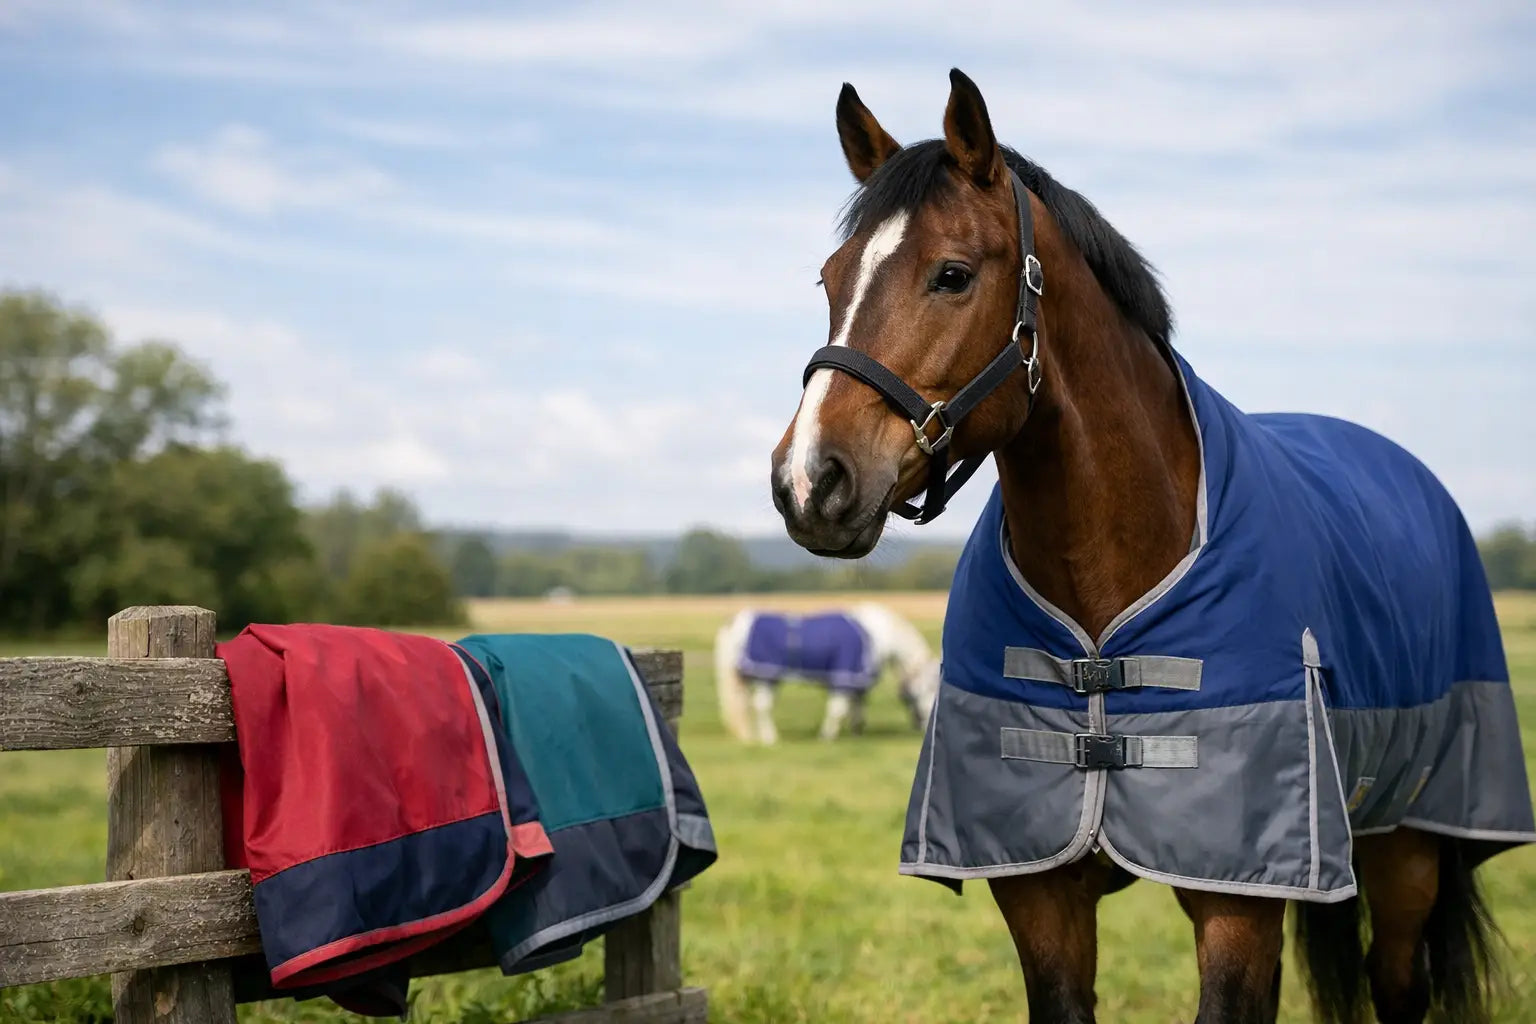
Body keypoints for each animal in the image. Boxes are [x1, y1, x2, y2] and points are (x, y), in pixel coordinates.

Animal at [714, 601, 940, 744]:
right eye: (928, 690)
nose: (925, 728)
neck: (877, 635)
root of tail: (738, 623)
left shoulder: (855, 681)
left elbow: (857, 709)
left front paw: (857, 734)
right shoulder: (843, 677)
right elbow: (837, 709)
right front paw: (827, 736)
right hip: (766, 677)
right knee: (762, 707)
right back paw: (770, 738)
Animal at [768, 69, 1533, 1023]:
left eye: (952, 275)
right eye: (831, 277)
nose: (809, 480)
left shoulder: (1239, 903)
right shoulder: (1043, 895)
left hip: (1409, 853)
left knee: (1399, 980)